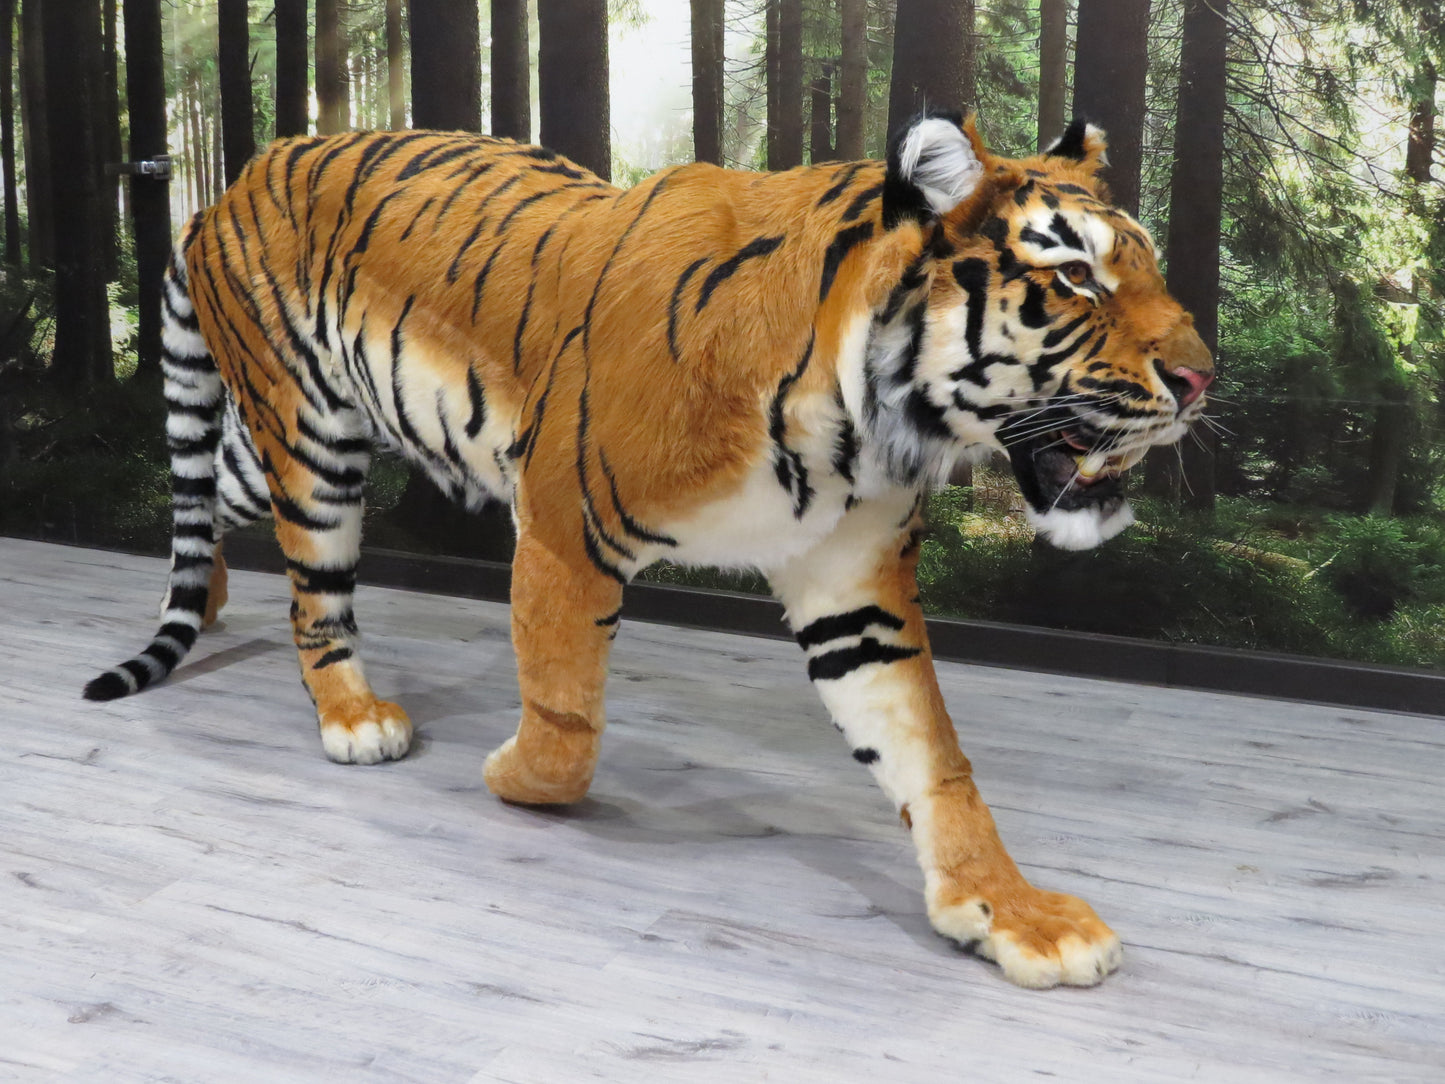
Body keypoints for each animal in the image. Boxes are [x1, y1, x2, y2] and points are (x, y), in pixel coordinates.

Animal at [84, 111, 1213, 989]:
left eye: (1146, 266)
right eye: (1074, 275)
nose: (1202, 378)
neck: (864, 422)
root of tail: (235, 176)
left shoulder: (850, 584)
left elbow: (932, 760)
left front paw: (1007, 910)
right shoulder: (558, 525)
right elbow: (568, 720)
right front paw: (511, 777)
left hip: (296, 435)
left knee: (216, 487)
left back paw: (209, 595)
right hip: (313, 441)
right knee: (308, 590)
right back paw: (353, 715)